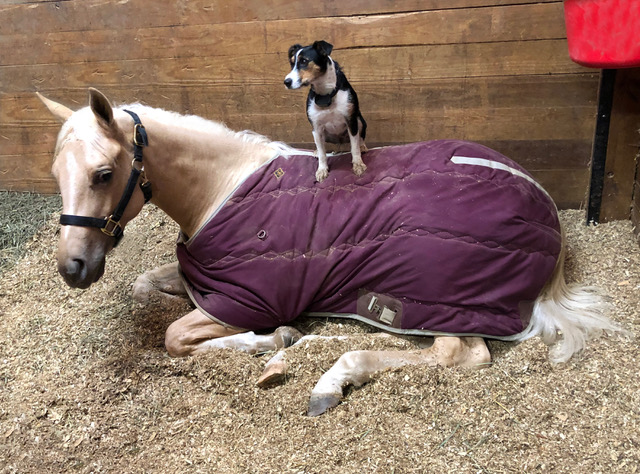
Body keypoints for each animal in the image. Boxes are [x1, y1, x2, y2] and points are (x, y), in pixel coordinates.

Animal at [37, 88, 624, 414]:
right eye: (56, 174)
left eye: (104, 174)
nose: (73, 268)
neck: (220, 190)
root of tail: (546, 211)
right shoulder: (211, 276)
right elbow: (143, 289)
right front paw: (270, 339)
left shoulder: (246, 297)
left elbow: (176, 337)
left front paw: (260, 341)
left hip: (439, 295)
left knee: (455, 353)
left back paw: (327, 375)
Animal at [284, 40, 368, 181]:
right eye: (291, 63)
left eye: (304, 61)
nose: (286, 82)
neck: (325, 92)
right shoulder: (316, 128)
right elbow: (323, 154)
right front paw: (322, 170)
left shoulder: (351, 120)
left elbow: (354, 147)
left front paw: (358, 165)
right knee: (322, 147)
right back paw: (317, 151)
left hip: (359, 121)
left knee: (359, 139)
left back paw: (362, 146)